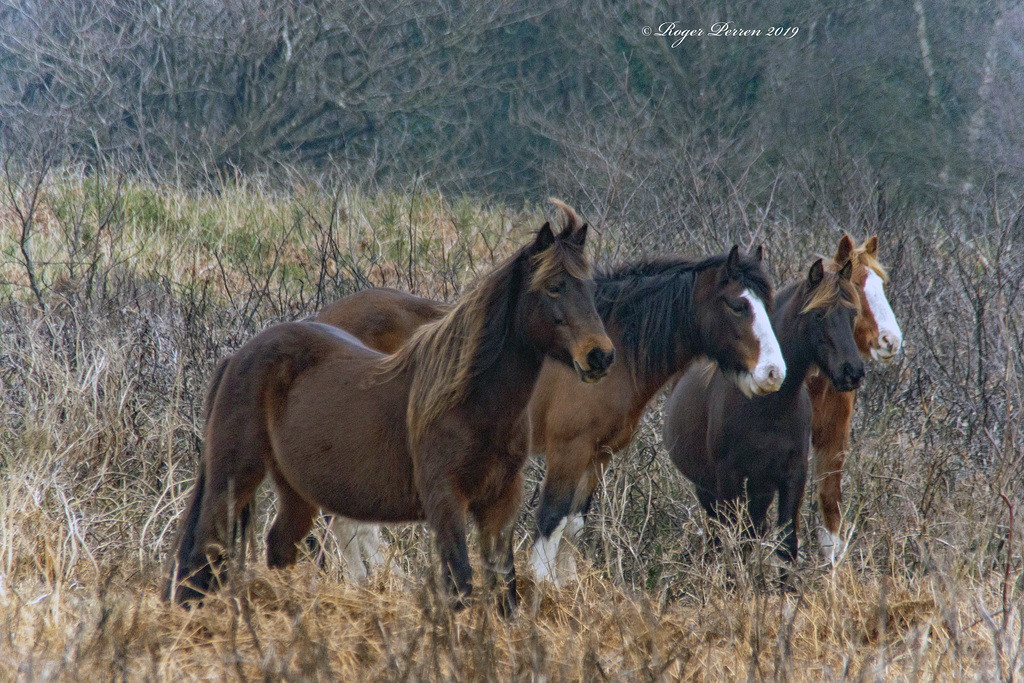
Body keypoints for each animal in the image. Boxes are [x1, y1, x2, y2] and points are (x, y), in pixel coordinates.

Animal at [158, 209, 606, 614]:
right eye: (554, 287)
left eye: (590, 288)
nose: (600, 356)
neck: (471, 403)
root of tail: (237, 356)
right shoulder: (446, 501)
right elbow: (460, 583)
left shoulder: (501, 503)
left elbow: (504, 589)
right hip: (234, 477)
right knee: (203, 550)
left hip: (298, 490)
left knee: (278, 546)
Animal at [315, 242, 786, 585]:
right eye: (738, 305)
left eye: (768, 301)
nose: (773, 373)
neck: (615, 344)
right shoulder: (568, 450)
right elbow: (550, 521)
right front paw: (540, 592)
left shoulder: (598, 456)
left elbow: (573, 527)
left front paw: (565, 590)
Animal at [663, 259, 864, 569]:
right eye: (819, 315)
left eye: (853, 313)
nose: (852, 371)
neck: (770, 407)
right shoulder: (729, 479)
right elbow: (734, 543)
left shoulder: (792, 477)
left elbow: (786, 545)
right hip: (709, 489)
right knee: (720, 536)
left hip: (760, 489)